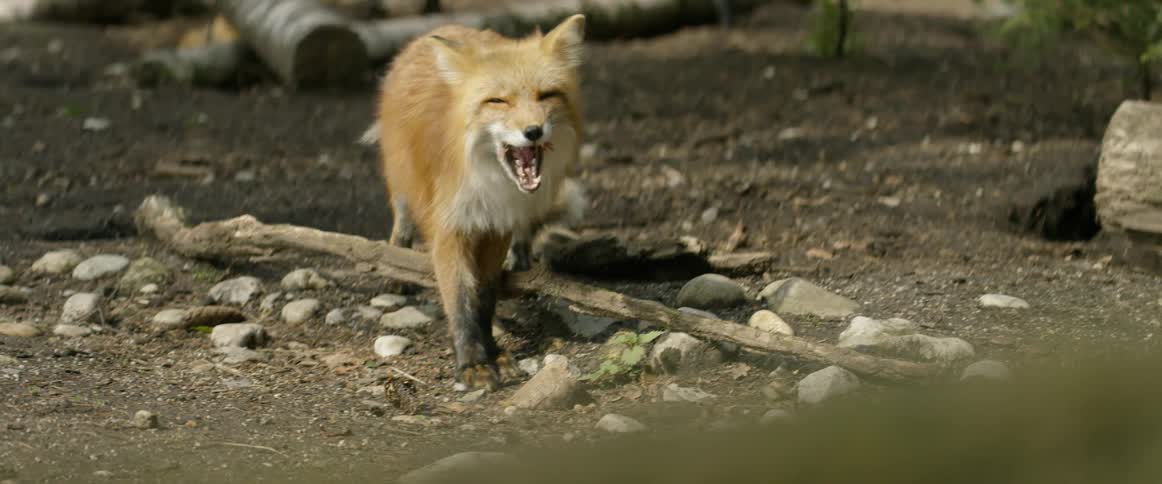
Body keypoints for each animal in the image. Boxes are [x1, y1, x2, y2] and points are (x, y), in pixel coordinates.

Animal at [373, 15, 588, 390]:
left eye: (547, 95)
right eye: (498, 101)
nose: (534, 131)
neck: (488, 182)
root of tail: (444, 26)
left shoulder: (496, 226)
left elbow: (485, 298)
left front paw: (494, 352)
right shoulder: (450, 228)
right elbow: (461, 301)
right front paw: (472, 362)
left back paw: (521, 261)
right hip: (399, 176)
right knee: (402, 218)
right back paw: (395, 262)